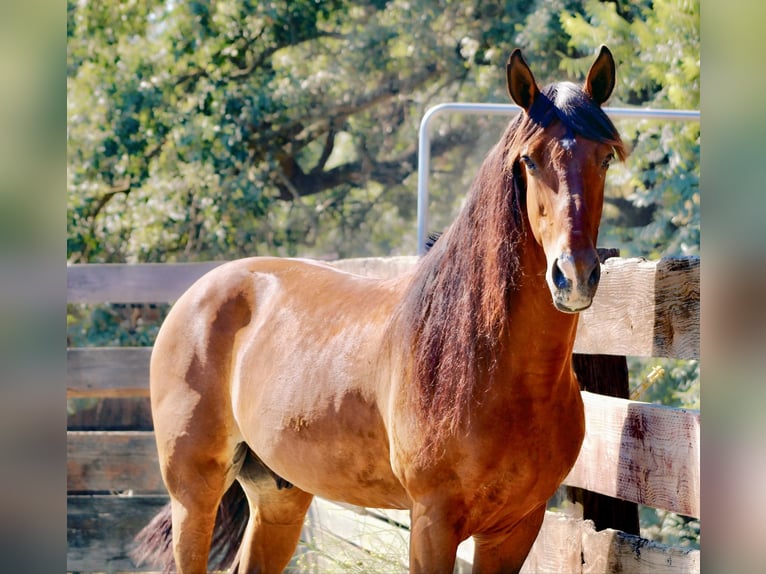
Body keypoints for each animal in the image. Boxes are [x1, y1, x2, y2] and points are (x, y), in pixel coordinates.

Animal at [132, 46, 627, 573]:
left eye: (605, 158)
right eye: (530, 160)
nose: (573, 274)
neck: (484, 364)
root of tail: (200, 292)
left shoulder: (516, 528)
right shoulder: (432, 522)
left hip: (279, 493)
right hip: (194, 493)